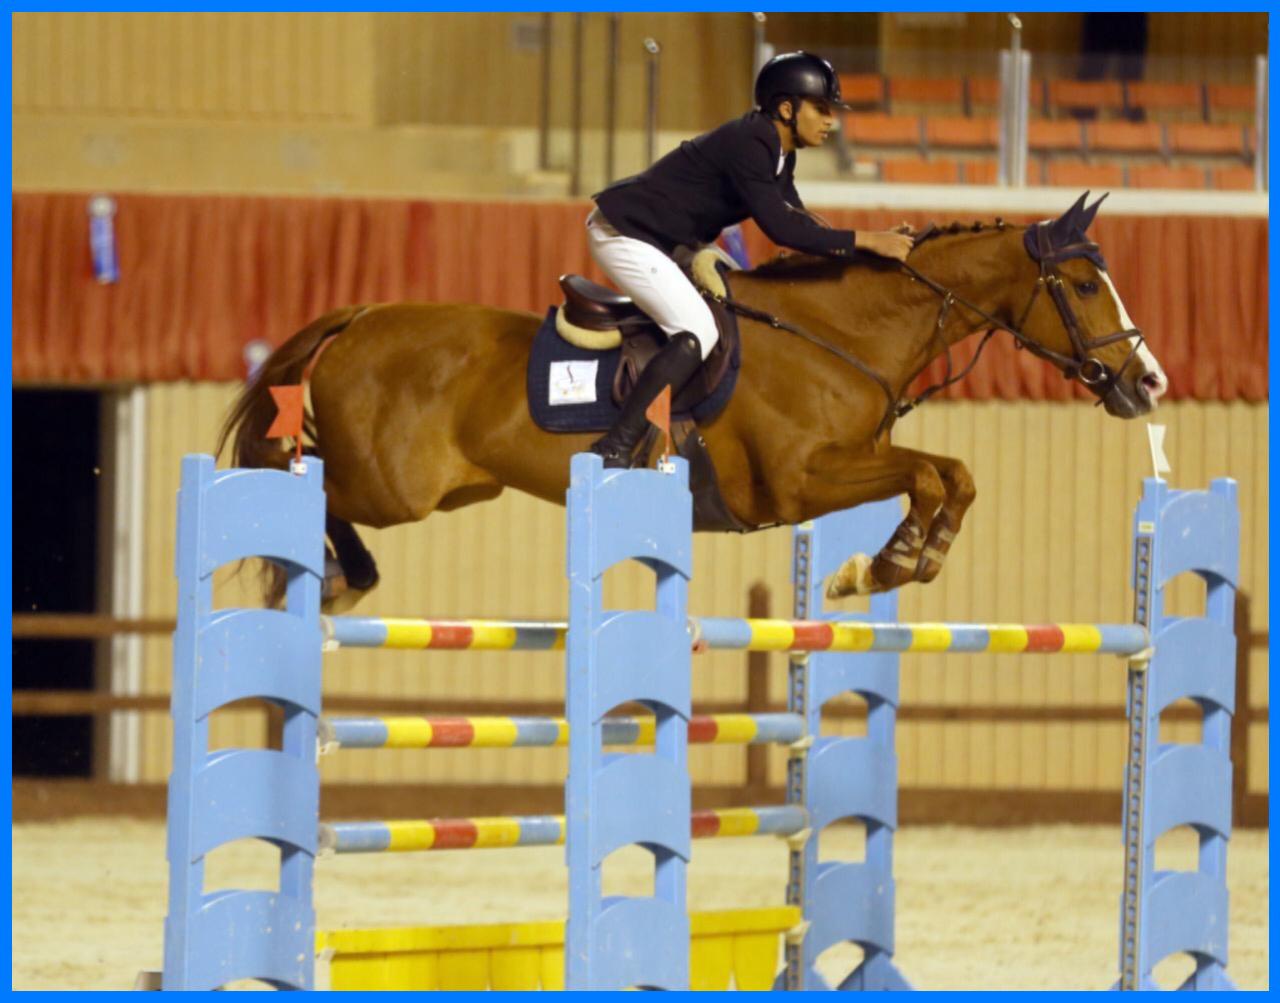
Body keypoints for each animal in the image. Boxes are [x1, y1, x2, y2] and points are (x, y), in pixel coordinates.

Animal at [220, 190, 1172, 606]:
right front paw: (888, 562)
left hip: (456, 488)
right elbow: (932, 474)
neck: (840, 334)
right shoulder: (799, 482)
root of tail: (361, 315)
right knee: (303, 484)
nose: (1147, 382)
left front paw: (904, 560)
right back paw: (339, 580)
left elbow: (953, 472)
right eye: (1083, 285)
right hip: (396, 487)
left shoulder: (854, 460)